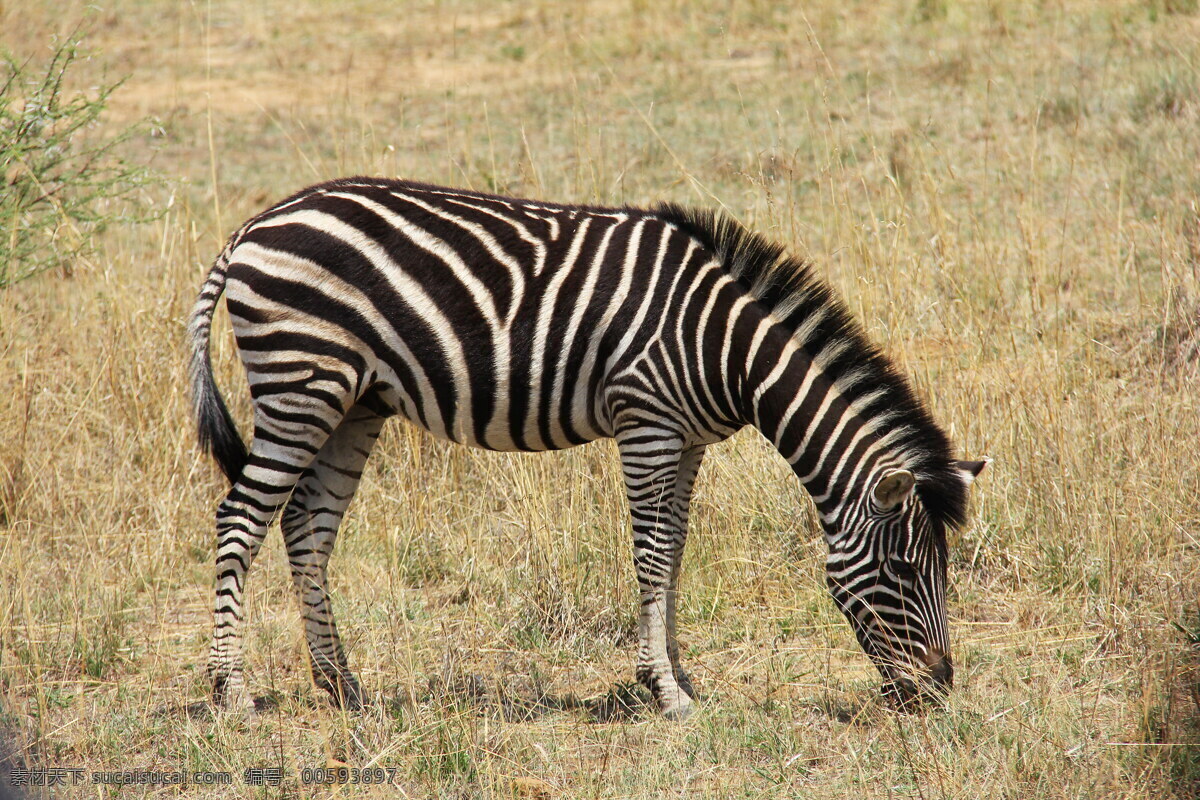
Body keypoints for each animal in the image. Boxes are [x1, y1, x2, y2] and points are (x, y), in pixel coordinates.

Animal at [189, 176, 984, 719]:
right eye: (904, 569)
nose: (938, 691)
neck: (727, 350)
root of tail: (256, 223)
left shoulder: (688, 439)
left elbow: (676, 549)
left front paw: (676, 675)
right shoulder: (648, 423)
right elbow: (652, 555)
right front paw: (664, 692)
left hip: (354, 403)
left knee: (306, 528)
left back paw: (342, 686)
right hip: (302, 384)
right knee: (240, 519)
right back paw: (232, 692)